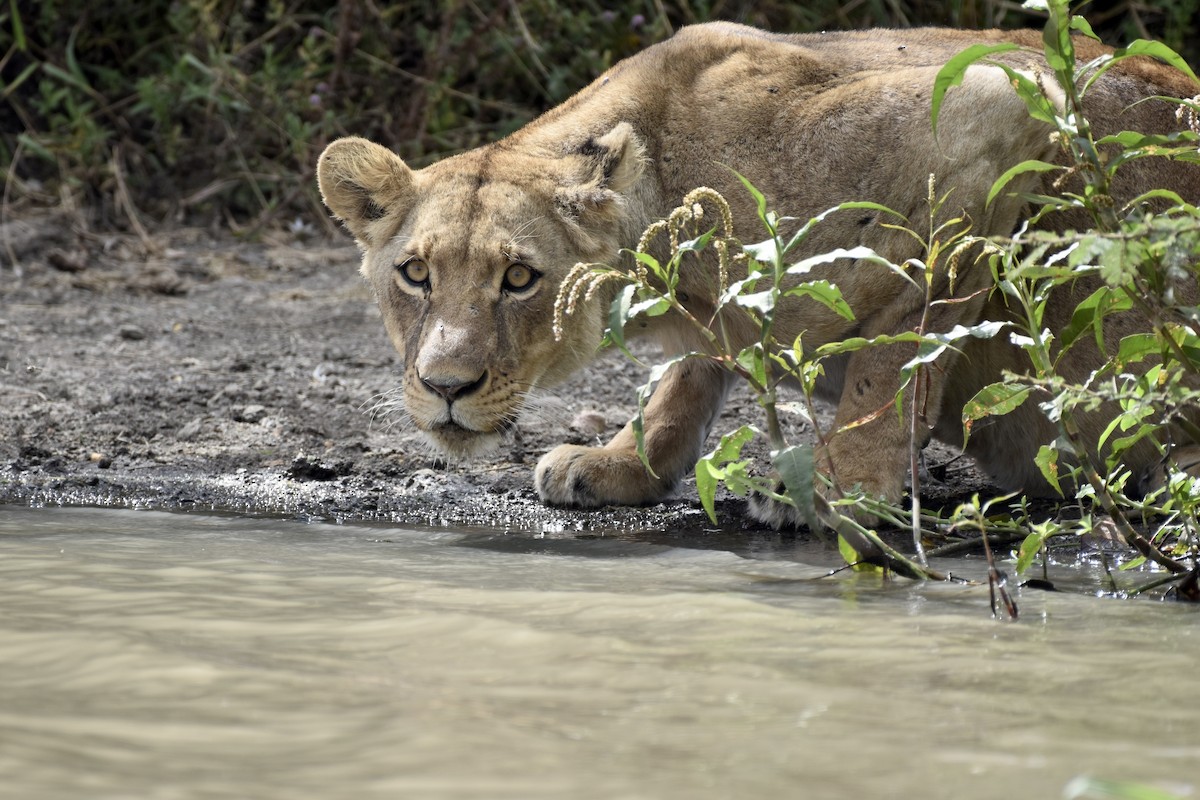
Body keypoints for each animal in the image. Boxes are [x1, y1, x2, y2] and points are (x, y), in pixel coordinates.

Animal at [317, 22, 1200, 527]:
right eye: (416, 273)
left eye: (520, 280)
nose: (446, 387)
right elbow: (685, 375)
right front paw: (621, 463)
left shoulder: (993, 107)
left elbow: (894, 358)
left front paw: (838, 485)